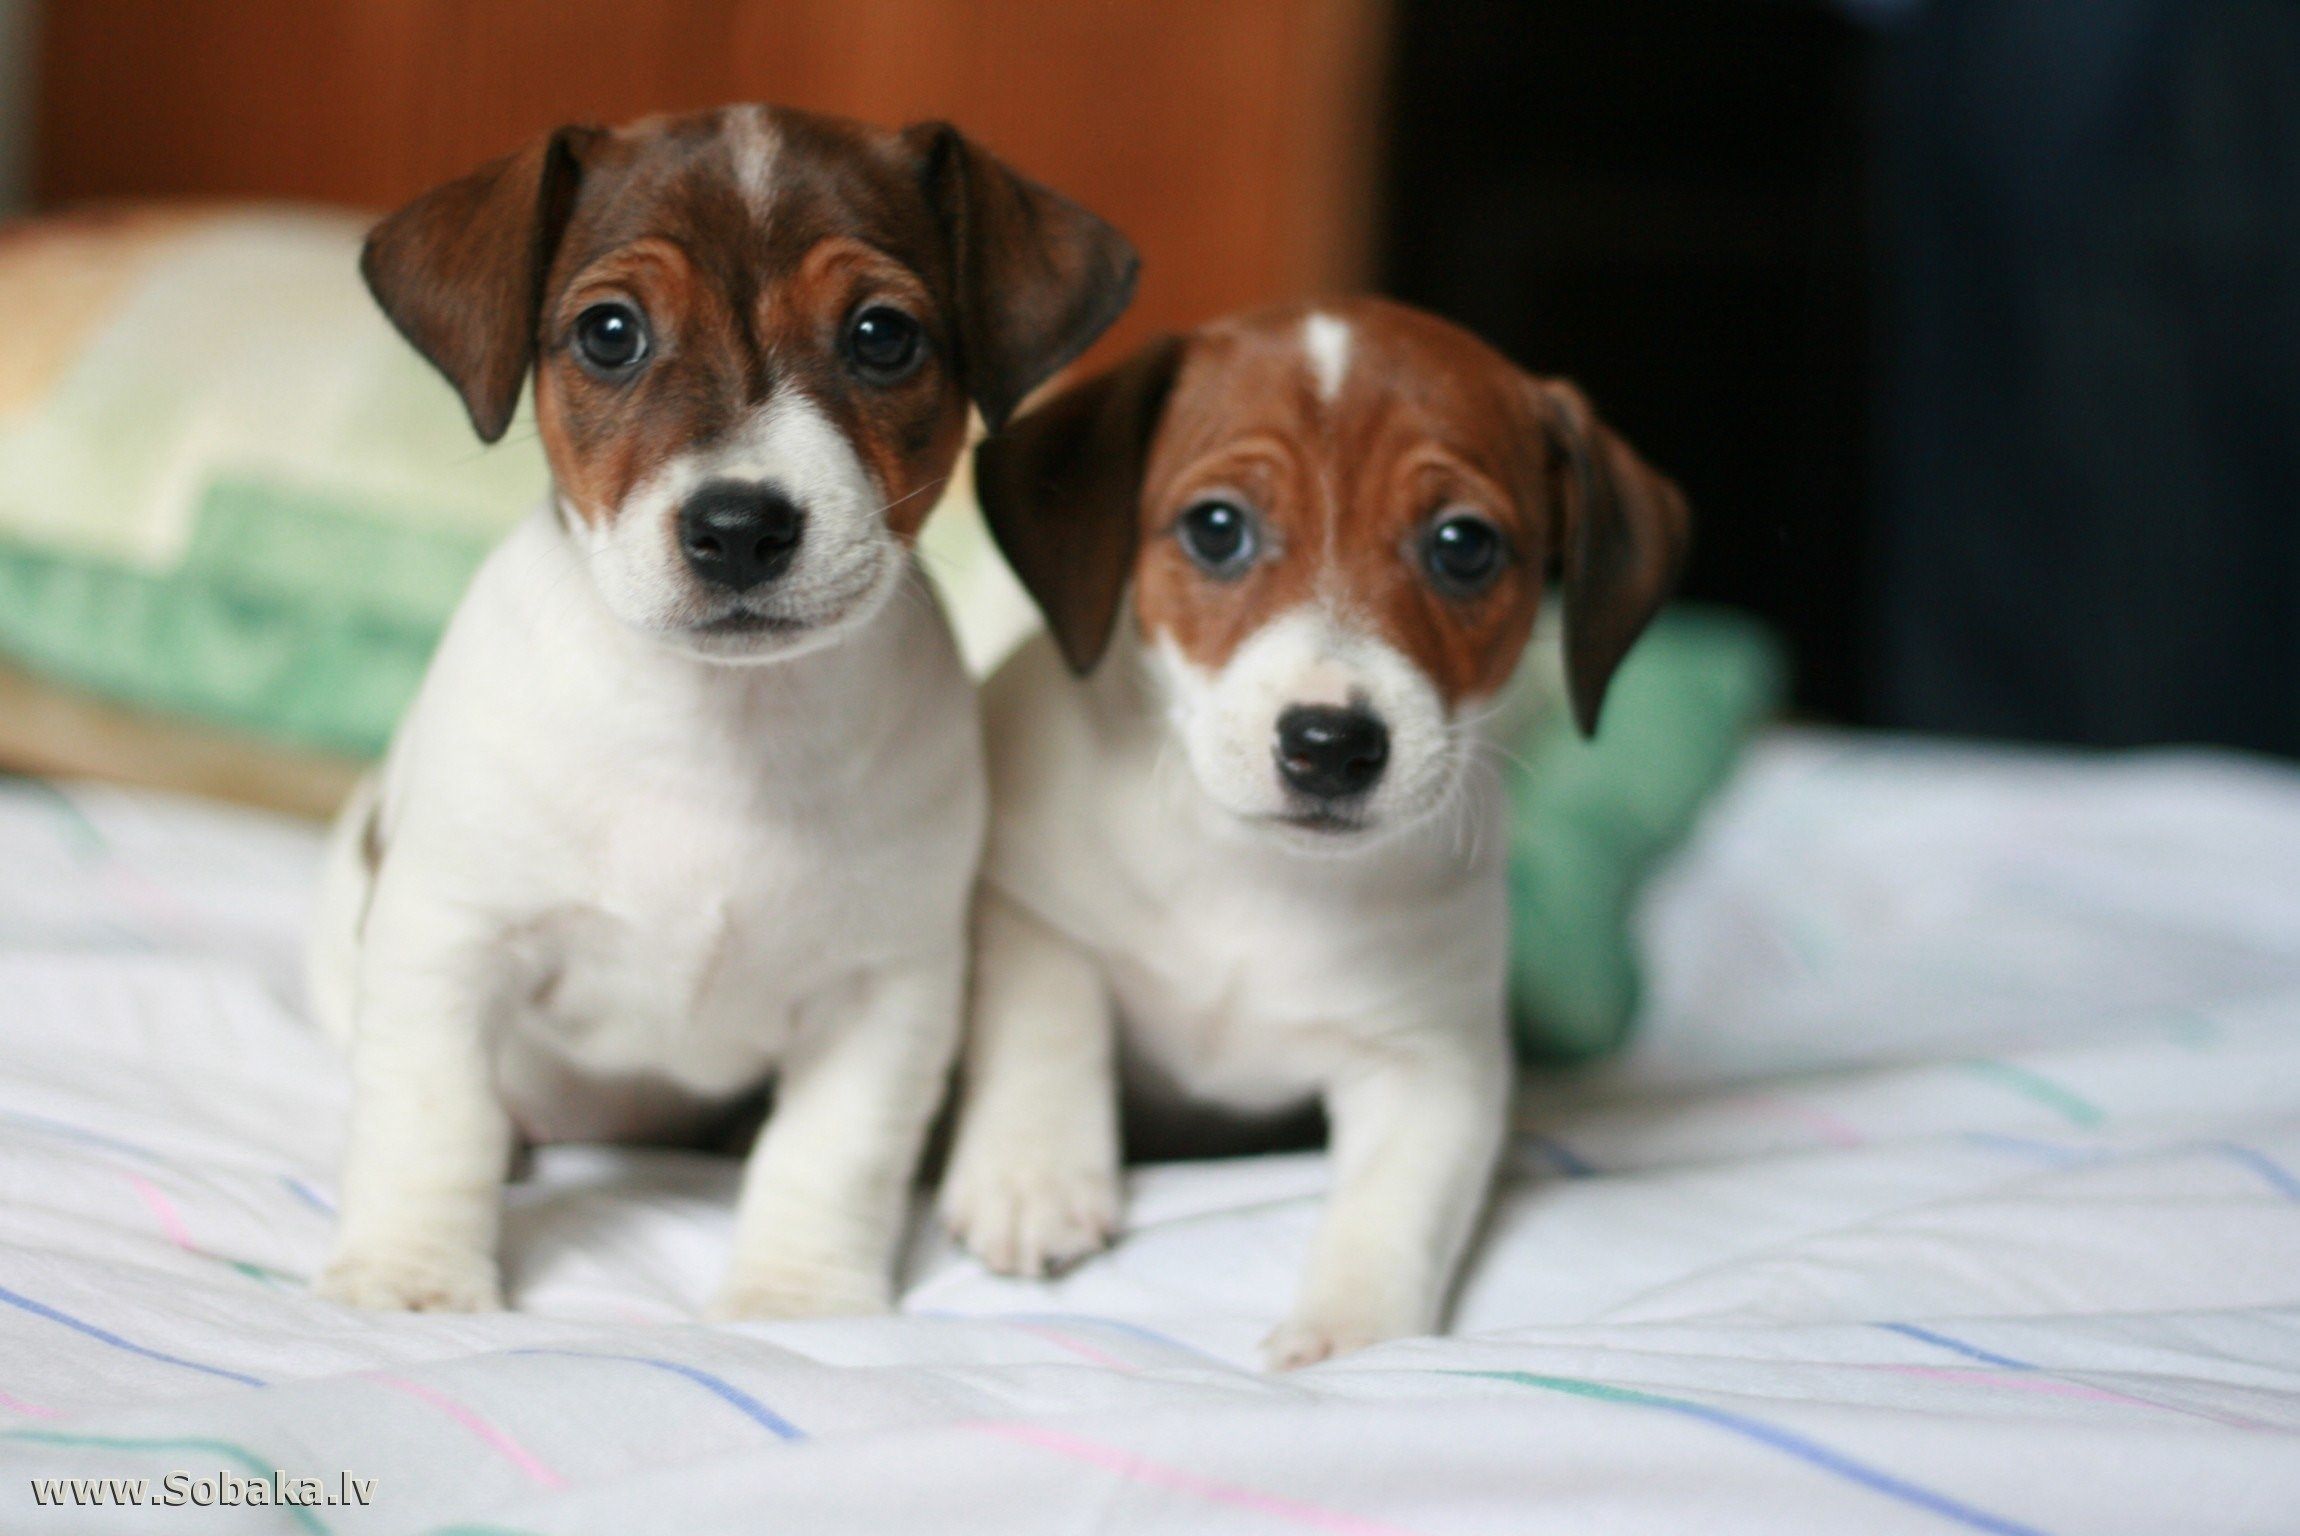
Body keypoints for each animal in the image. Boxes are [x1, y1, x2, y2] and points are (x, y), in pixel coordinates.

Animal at [305, 105, 1131, 1324]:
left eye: (883, 335)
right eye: (609, 333)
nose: (739, 527)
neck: (724, 723)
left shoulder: (883, 992)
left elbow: (830, 1155)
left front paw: (797, 1301)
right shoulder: (449, 941)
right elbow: (431, 1118)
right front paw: (413, 1279)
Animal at [938, 296, 1692, 1370]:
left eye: (1463, 545)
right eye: (1216, 529)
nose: (1331, 744)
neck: (1255, 875)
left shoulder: (1431, 1065)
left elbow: (1392, 1206)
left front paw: (1352, 1331)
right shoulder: (1030, 909)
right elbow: (1048, 1020)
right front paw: (1032, 1174)